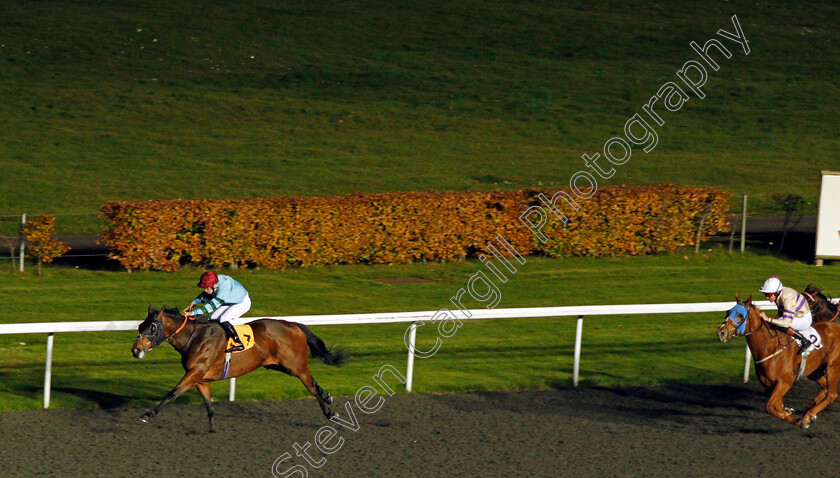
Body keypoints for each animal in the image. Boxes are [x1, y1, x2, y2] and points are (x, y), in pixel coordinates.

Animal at [131, 306, 348, 434]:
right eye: (141, 325)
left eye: (152, 327)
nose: (135, 350)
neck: (194, 337)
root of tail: (293, 325)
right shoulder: (201, 378)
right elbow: (208, 404)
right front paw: (212, 429)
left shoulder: (194, 372)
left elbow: (172, 394)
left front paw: (147, 415)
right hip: (278, 365)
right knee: (313, 384)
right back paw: (328, 397)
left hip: (296, 365)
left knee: (310, 386)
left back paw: (329, 412)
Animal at [716, 294, 840, 428]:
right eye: (727, 312)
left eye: (740, 315)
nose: (721, 332)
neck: (770, 347)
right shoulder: (770, 384)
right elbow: (778, 406)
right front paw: (789, 413)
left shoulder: (785, 382)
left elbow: (769, 407)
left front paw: (799, 420)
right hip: (814, 371)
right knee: (825, 388)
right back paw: (810, 409)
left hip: (832, 366)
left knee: (832, 395)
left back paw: (808, 416)